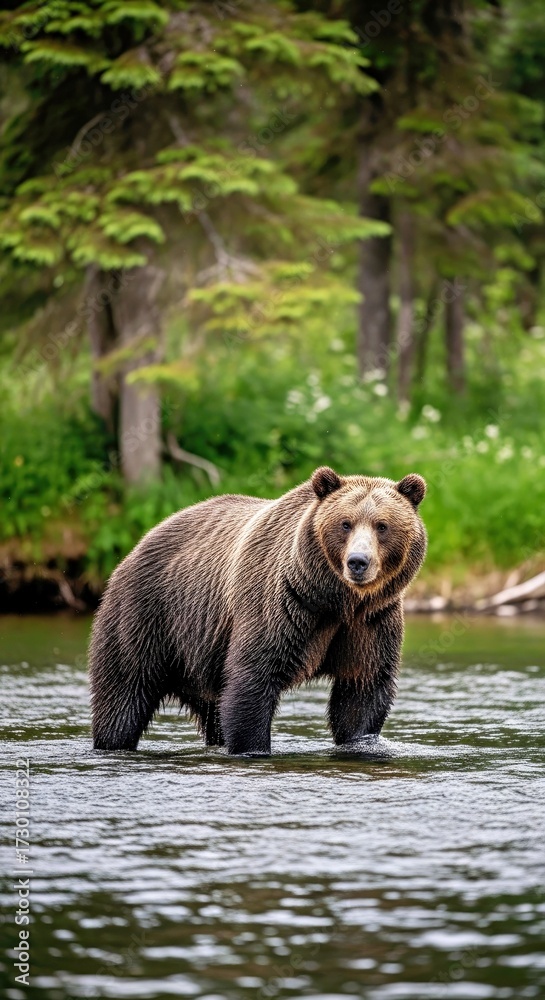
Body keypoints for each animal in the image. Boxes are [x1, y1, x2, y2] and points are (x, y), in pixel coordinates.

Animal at [89, 466, 427, 755]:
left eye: (382, 526)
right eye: (345, 523)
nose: (358, 561)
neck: (336, 600)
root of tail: (138, 544)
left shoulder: (371, 622)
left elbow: (362, 690)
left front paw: (359, 739)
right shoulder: (282, 606)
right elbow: (252, 681)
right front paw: (253, 746)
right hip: (146, 618)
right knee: (123, 696)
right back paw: (113, 740)